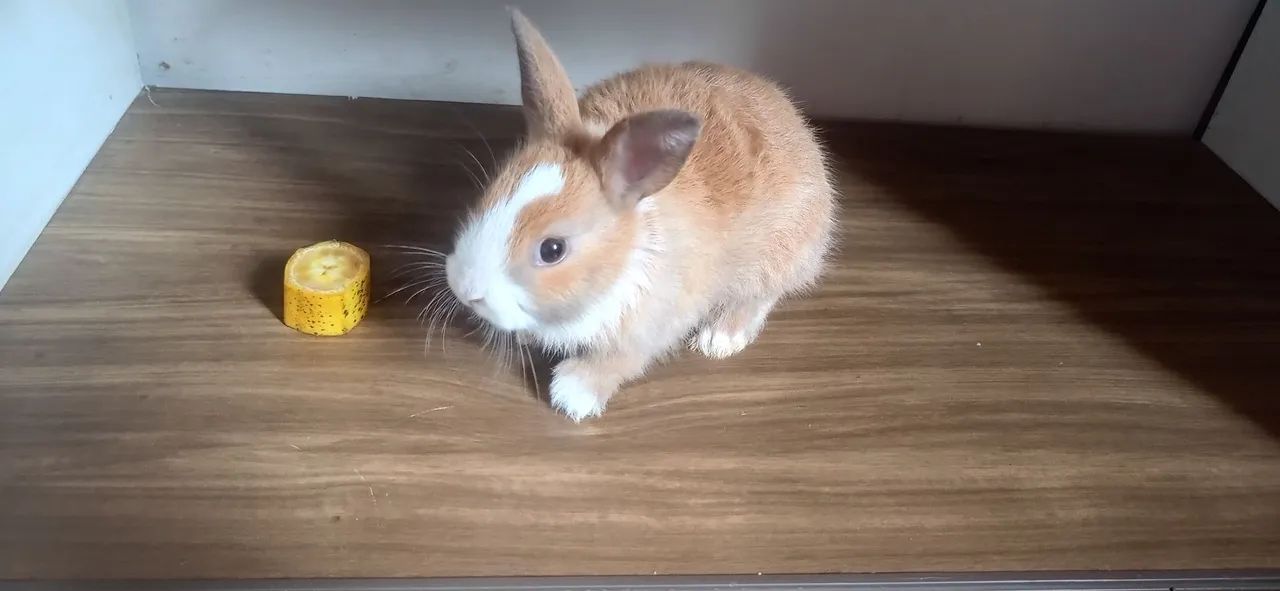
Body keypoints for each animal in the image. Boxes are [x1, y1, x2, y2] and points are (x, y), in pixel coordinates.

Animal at [445, 9, 838, 421]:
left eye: (552, 250)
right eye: (487, 197)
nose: (463, 288)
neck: (625, 250)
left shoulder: (654, 325)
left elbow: (621, 360)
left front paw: (573, 395)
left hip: (781, 252)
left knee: (762, 295)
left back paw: (720, 338)